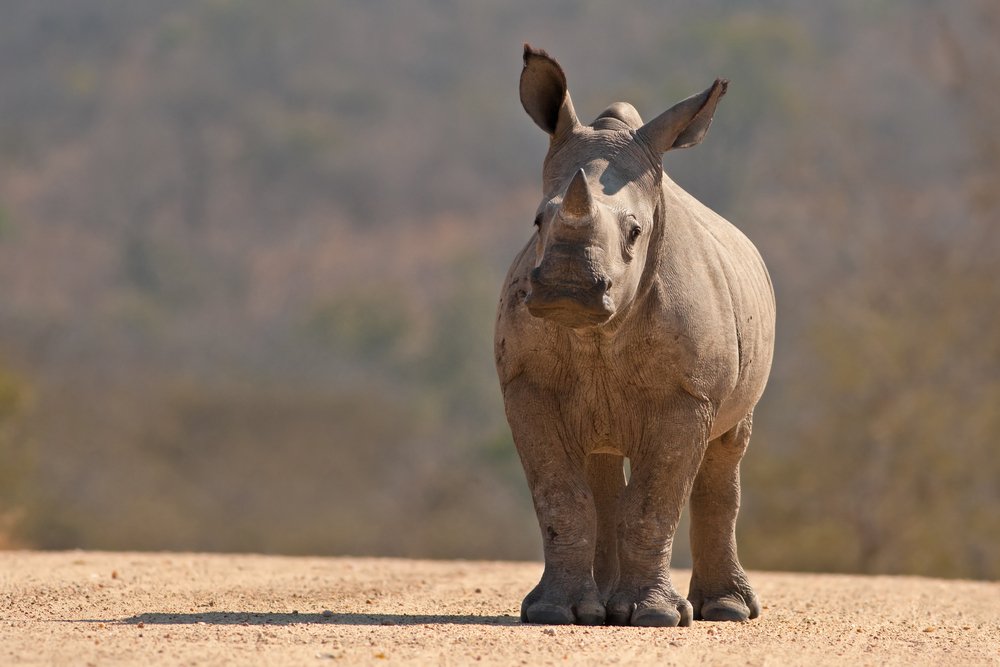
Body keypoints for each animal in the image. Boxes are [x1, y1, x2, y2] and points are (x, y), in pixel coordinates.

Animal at [494, 46, 776, 627]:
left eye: (635, 233)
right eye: (537, 222)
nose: (569, 289)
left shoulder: (688, 395)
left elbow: (653, 503)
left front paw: (655, 618)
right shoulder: (526, 385)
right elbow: (560, 498)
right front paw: (552, 612)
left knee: (726, 453)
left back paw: (726, 611)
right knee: (600, 466)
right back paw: (596, 609)